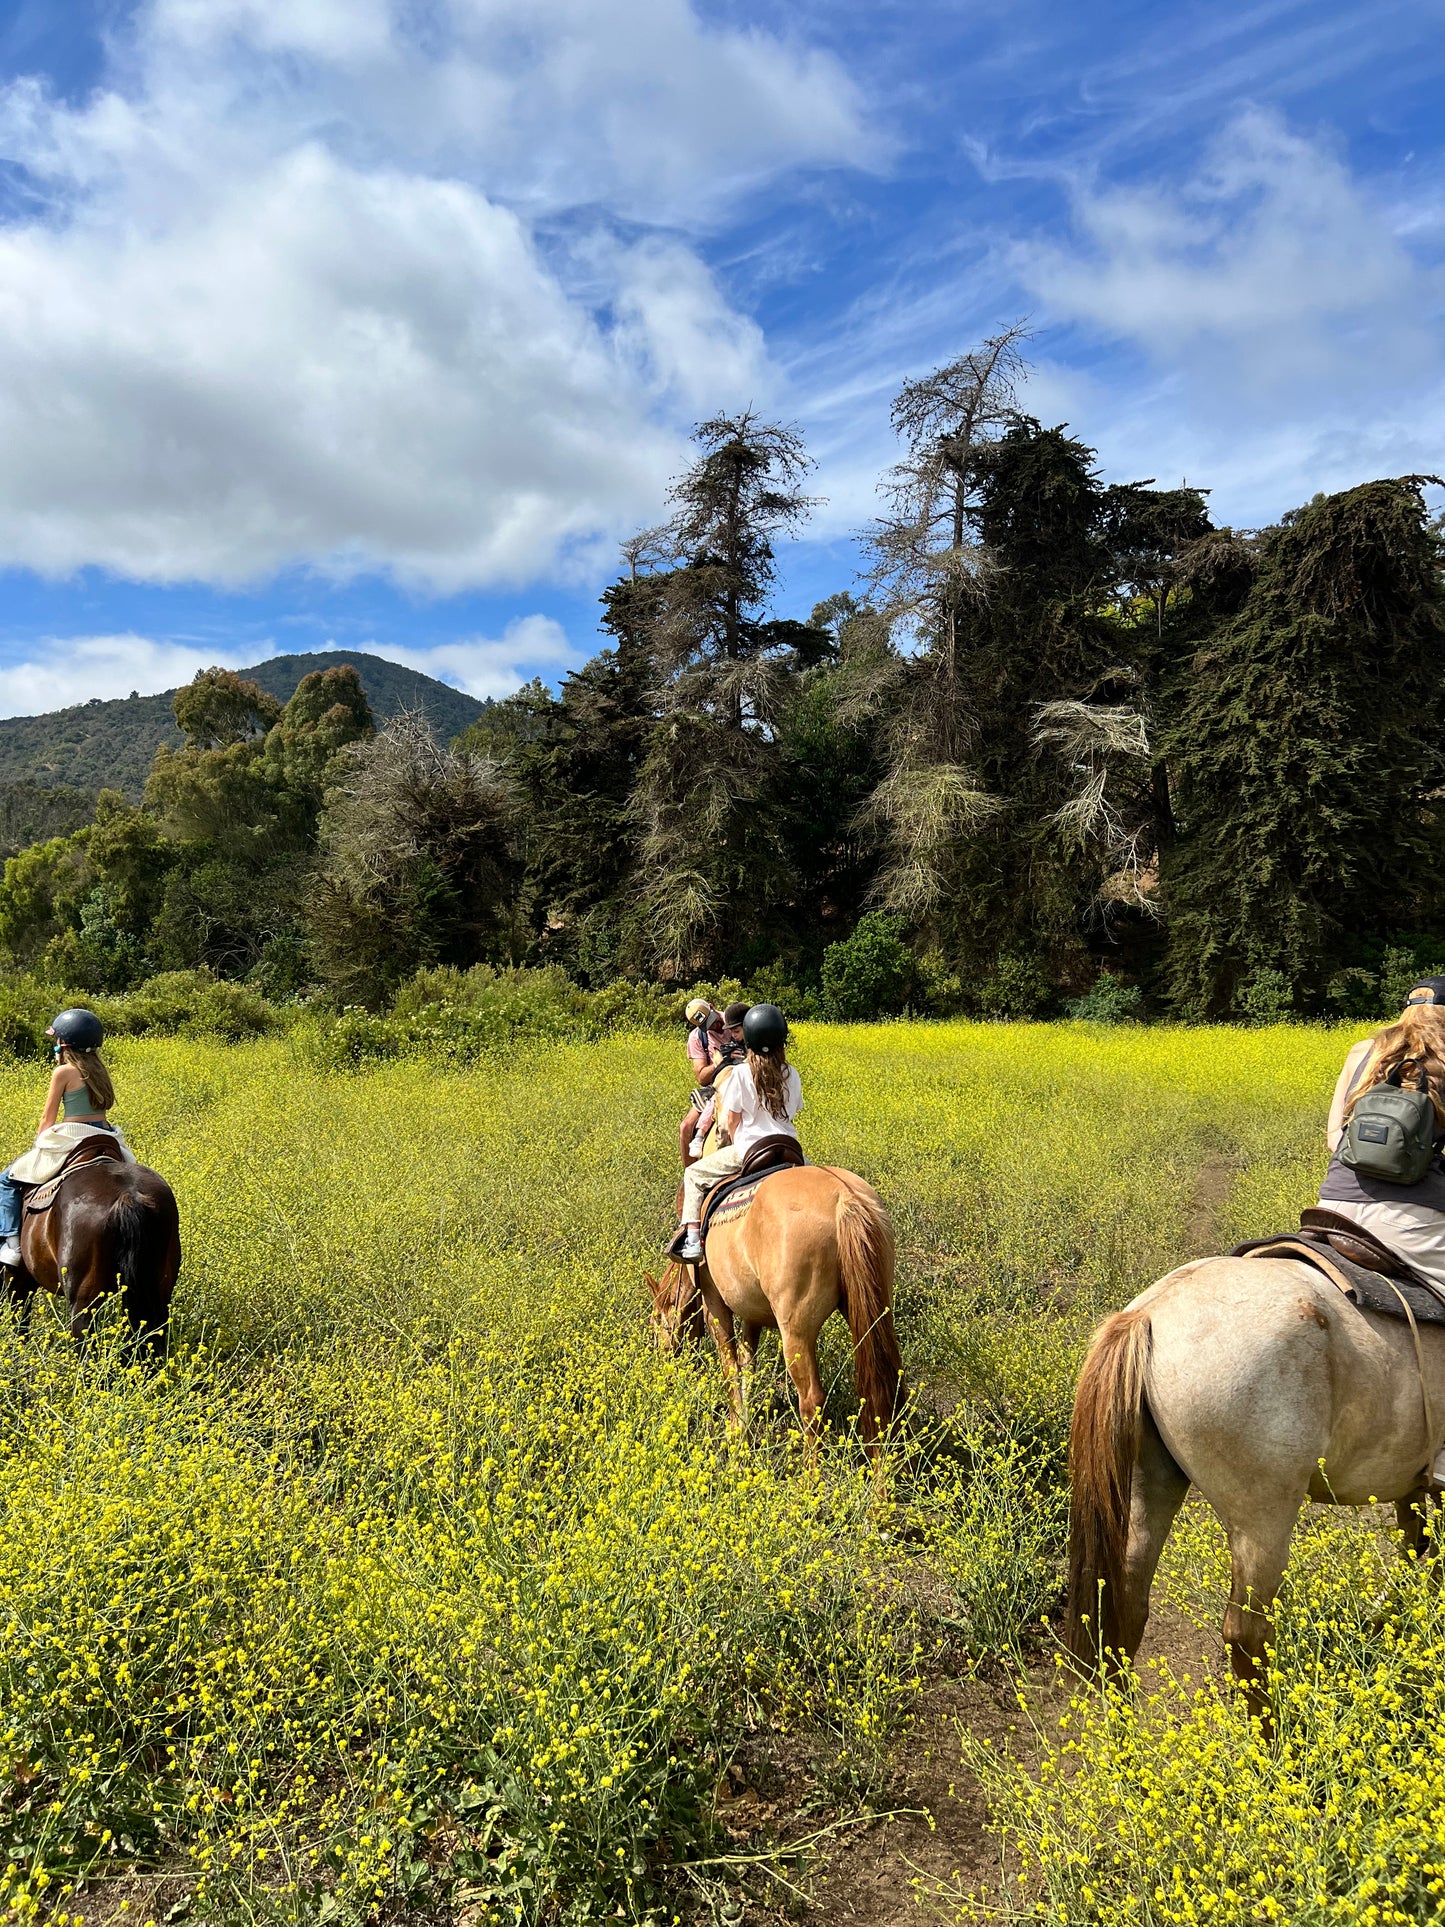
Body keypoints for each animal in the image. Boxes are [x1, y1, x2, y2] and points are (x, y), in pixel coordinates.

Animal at [647, 1156, 905, 1456]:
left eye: (656, 1321)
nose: (662, 1359)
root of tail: (845, 1198)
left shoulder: (715, 1304)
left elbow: (730, 1365)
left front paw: (735, 1432)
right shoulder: (752, 1314)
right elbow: (747, 1363)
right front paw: (744, 1422)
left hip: (796, 1331)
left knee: (812, 1400)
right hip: (874, 1312)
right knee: (884, 1391)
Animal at [1063, 1256, 1445, 1726]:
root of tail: (1149, 1312)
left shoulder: (1412, 1482)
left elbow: (1417, 1542)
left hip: (1146, 1488)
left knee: (1127, 1607)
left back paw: (1126, 1738)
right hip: (1263, 1518)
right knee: (1247, 1634)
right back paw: (1277, 1739)